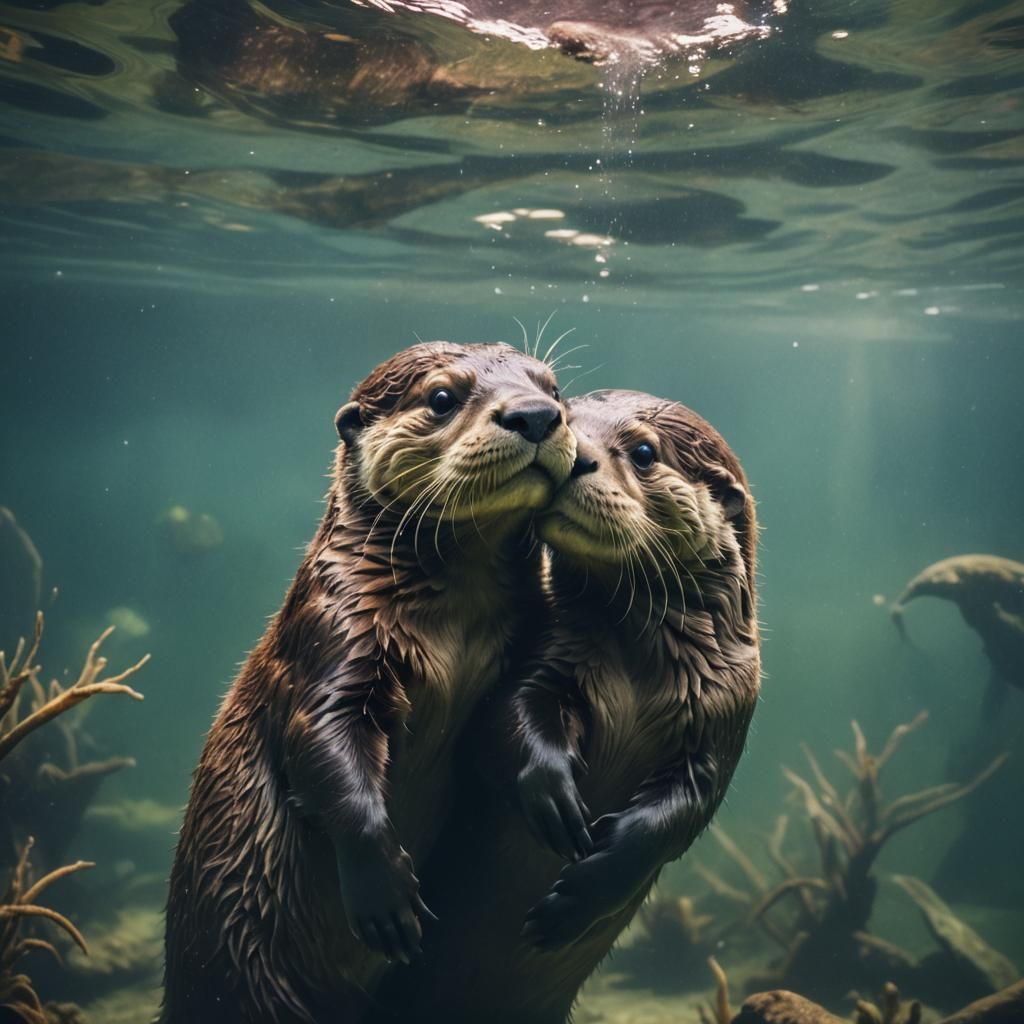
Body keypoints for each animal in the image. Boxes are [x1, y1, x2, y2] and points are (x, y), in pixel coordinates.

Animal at [161, 342, 576, 1024]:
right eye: (442, 397)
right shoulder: (334, 634)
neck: (454, 624)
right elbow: (321, 747)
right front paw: (385, 894)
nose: (537, 415)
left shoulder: (526, 631)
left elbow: (520, 707)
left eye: (553, 388)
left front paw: (552, 785)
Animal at [372, 389, 759, 1023]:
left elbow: (684, 812)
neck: (637, 672)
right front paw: (554, 795)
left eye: (644, 452)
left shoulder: (725, 711)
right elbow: (505, 722)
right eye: (568, 422)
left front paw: (582, 895)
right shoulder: (550, 650)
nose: (576, 457)